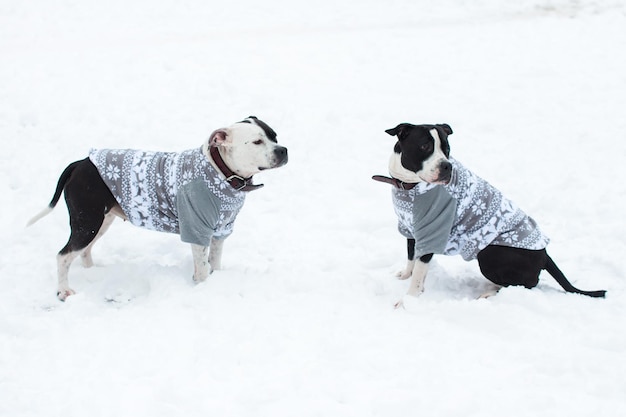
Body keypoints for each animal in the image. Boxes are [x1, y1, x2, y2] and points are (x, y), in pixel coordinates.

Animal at [26, 115, 286, 300]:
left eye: (274, 136)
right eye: (257, 141)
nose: (283, 150)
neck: (222, 172)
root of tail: (80, 163)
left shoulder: (220, 231)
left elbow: (214, 262)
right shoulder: (197, 230)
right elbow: (203, 269)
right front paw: (204, 289)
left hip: (99, 221)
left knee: (83, 251)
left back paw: (93, 272)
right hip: (87, 221)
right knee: (63, 256)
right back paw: (63, 291)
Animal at [372, 121, 604, 306]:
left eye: (447, 148)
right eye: (424, 146)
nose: (447, 166)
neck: (409, 185)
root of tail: (545, 254)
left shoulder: (433, 231)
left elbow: (419, 272)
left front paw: (408, 300)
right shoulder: (410, 228)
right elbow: (412, 257)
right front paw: (405, 275)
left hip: (489, 255)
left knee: (529, 283)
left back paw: (489, 293)